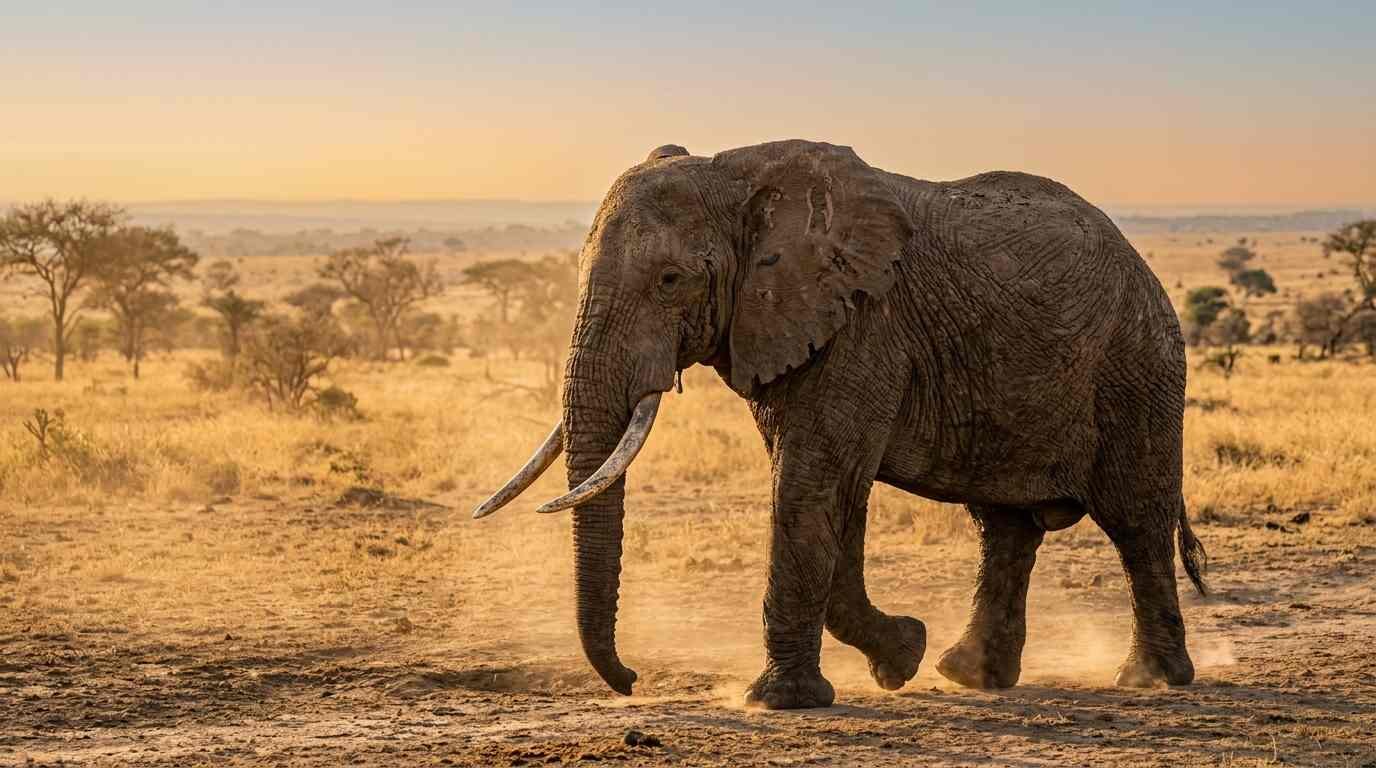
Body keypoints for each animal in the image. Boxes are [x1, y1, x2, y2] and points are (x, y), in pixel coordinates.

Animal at [475, 139, 1208, 710]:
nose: (632, 680)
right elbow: (831, 497)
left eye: (670, 279)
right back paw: (968, 675)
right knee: (1005, 529)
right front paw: (903, 655)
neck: (736, 175)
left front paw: (783, 700)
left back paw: (1151, 681)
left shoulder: (863, 324)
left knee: (1135, 520)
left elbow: (811, 485)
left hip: (1136, 366)